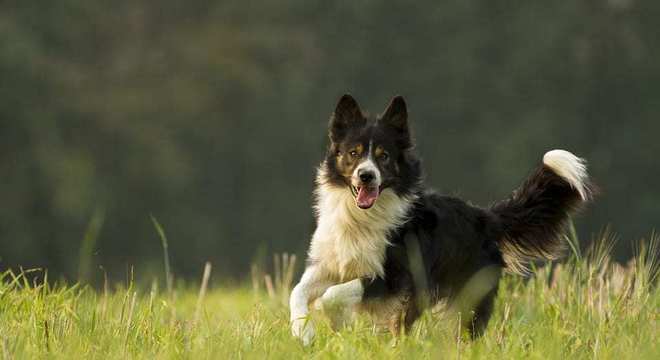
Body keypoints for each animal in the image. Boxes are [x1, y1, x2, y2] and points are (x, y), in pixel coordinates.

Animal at [288, 94, 592, 344]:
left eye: (383, 157)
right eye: (354, 153)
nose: (366, 176)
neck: (361, 216)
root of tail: (484, 216)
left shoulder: (394, 277)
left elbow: (331, 296)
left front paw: (336, 321)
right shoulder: (330, 264)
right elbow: (297, 291)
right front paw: (303, 332)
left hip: (463, 295)